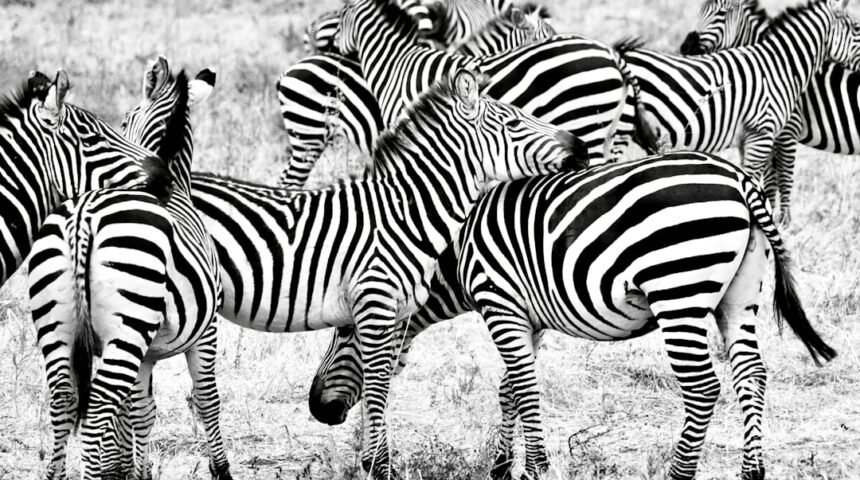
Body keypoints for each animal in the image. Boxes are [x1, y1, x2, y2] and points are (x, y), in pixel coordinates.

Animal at [27, 60, 230, 479]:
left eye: (121, 121)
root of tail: (84, 214)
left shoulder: (143, 352)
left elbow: (137, 413)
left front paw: (130, 470)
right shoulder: (206, 330)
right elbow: (205, 399)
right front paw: (221, 469)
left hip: (62, 329)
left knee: (64, 401)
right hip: (126, 330)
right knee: (96, 411)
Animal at [188, 69, 581, 480]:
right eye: (513, 123)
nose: (581, 147)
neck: (406, 215)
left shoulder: (394, 314)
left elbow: (379, 386)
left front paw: (374, 460)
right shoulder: (376, 303)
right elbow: (376, 388)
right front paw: (380, 467)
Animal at [309, 152, 837, 480]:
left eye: (346, 331)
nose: (318, 408)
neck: (451, 253)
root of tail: (739, 178)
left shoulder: (500, 303)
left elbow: (523, 388)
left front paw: (533, 467)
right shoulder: (528, 317)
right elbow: (509, 389)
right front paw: (501, 466)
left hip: (678, 290)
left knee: (703, 387)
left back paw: (679, 472)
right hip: (739, 294)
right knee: (752, 375)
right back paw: (752, 470)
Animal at [616, 0, 860, 226]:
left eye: (722, 14)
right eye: (700, 10)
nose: (685, 47)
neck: (781, 69)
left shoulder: (786, 131)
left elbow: (782, 177)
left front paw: (782, 221)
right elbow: (771, 178)